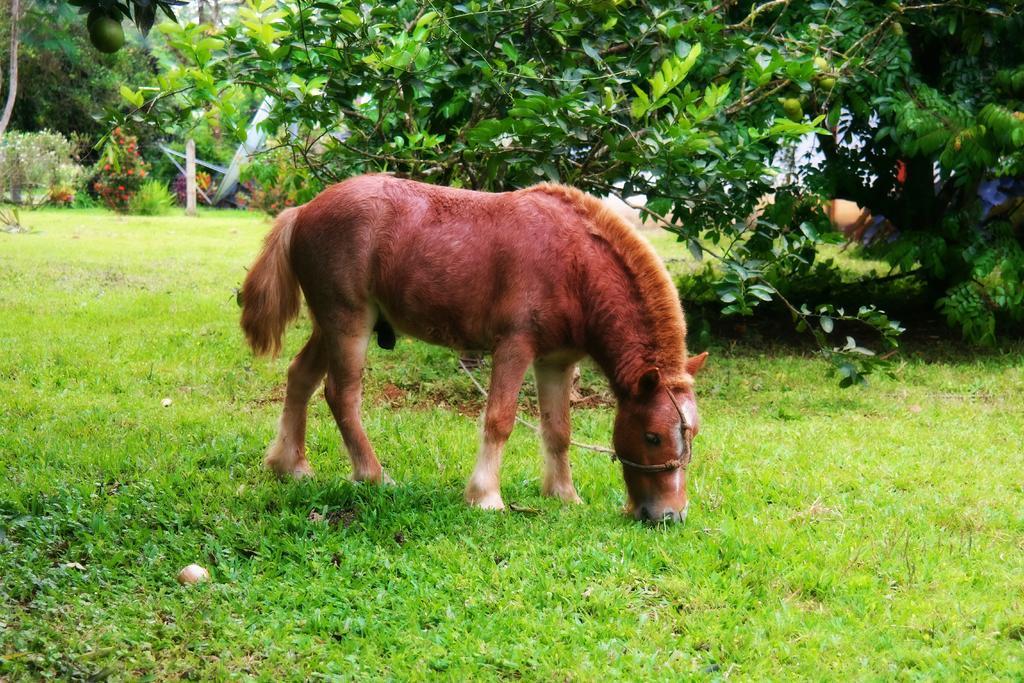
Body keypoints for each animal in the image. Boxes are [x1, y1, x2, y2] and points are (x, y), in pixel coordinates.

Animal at [241, 174, 704, 520]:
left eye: (692, 435)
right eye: (653, 436)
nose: (671, 516)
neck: (574, 261)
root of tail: (303, 210)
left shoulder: (555, 362)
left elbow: (558, 431)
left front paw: (564, 495)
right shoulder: (515, 347)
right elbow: (500, 419)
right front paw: (486, 496)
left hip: (331, 325)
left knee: (300, 377)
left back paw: (290, 465)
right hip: (348, 323)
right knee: (342, 395)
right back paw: (372, 476)